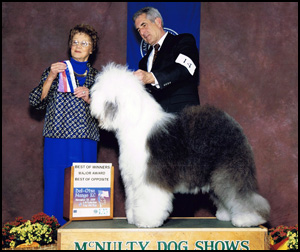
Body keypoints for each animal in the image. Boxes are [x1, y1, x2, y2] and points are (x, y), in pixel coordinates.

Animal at [90, 63, 270, 228]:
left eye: (106, 95)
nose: (92, 104)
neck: (133, 121)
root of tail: (232, 124)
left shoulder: (150, 178)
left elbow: (149, 201)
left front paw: (146, 222)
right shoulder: (133, 179)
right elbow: (133, 200)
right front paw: (133, 218)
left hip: (230, 169)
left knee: (240, 194)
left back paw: (247, 219)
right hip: (214, 175)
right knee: (222, 194)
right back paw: (226, 215)